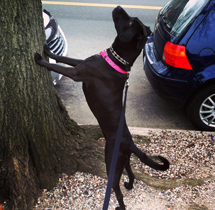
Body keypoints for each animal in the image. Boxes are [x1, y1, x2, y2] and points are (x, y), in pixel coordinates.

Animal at [34, 5, 169, 209]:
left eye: (130, 22)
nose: (119, 6)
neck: (118, 61)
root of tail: (130, 143)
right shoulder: (81, 62)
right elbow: (63, 57)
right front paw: (48, 51)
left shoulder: (77, 73)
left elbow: (58, 67)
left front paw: (39, 59)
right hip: (123, 160)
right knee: (132, 174)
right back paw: (129, 184)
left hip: (111, 163)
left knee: (117, 190)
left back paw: (119, 204)